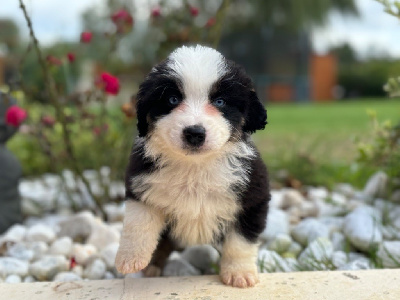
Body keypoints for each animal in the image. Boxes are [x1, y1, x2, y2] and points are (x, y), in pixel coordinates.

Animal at [115, 45, 270, 288]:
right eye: (172, 99)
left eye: (220, 102)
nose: (195, 133)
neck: (194, 167)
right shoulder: (141, 185)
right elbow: (139, 223)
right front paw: (131, 259)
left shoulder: (252, 197)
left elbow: (240, 242)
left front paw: (239, 273)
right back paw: (151, 268)